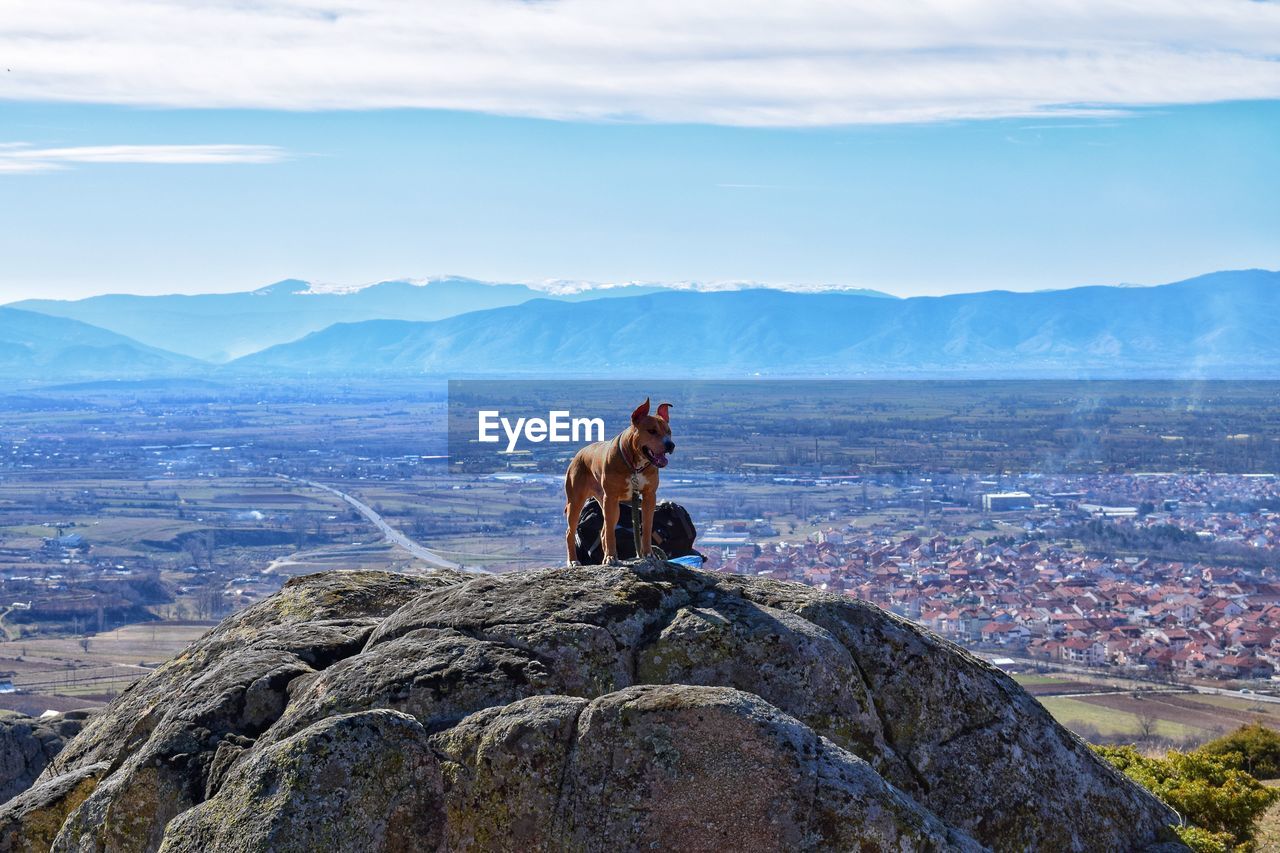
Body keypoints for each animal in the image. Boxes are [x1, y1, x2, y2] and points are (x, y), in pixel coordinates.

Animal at [565, 399, 675, 563]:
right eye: (652, 431)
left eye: (669, 431)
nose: (670, 445)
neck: (635, 466)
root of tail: (579, 454)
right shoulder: (610, 498)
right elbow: (611, 532)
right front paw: (610, 557)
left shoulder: (649, 496)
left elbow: (647, 527)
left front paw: (648, 554)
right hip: (577, 501)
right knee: (572, 531)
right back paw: (573, 560)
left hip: (610, 504)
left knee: (603, 530)